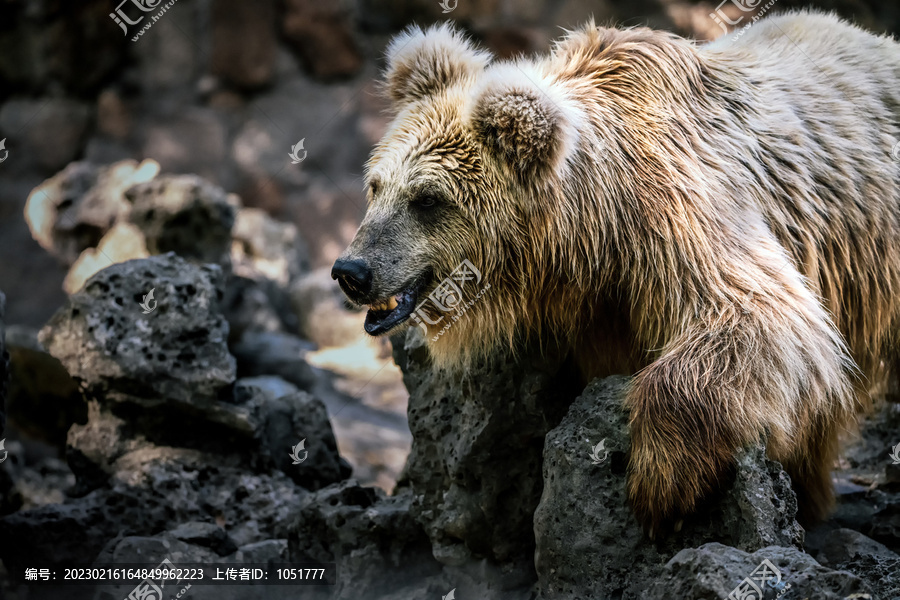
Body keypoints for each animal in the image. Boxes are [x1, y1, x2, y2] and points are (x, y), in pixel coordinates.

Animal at [332, 11, 900, 532]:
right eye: (376, 186)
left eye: (427, 199)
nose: (351, 270)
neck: (590, 233)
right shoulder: (596, 302)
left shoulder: (679, 211)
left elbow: (767, 318)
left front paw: (659, 480)